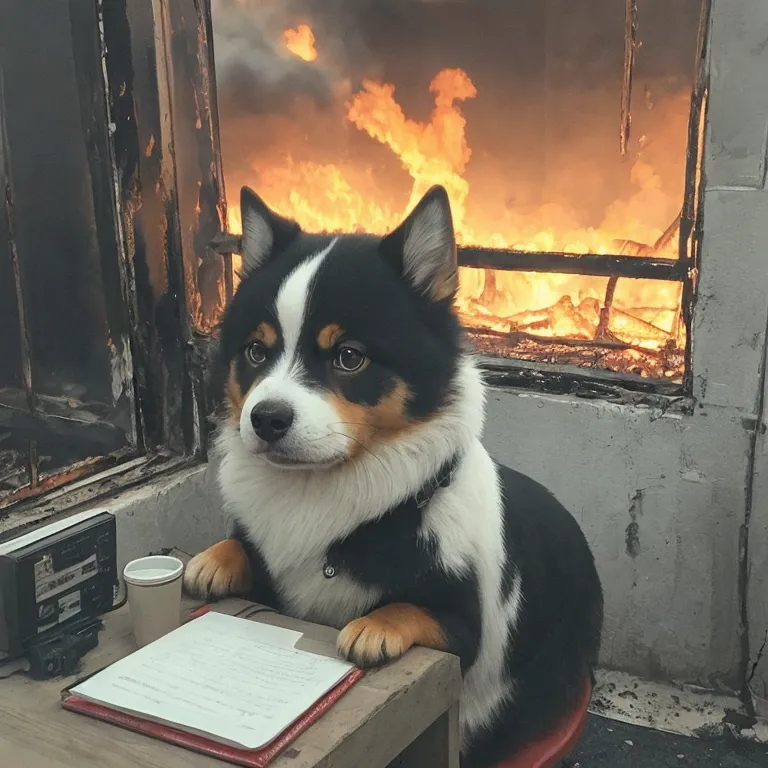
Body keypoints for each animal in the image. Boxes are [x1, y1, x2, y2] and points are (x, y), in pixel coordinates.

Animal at [183, 186, 604, 768]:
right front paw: (215, 558)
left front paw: (373, 627)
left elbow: (410, 607)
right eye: (255, 351)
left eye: (349, 357)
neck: (327, 490)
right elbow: (242, 548)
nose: (265, 420)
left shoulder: (463, 626)